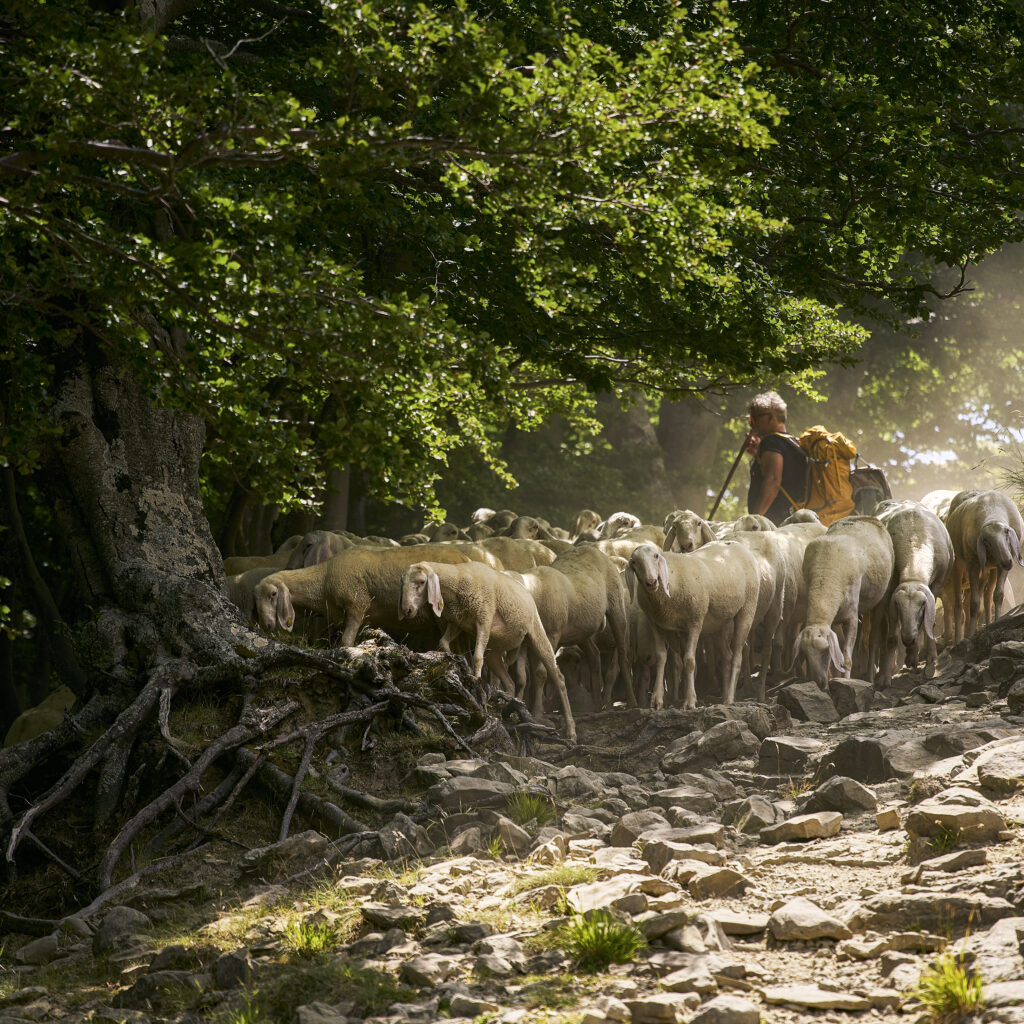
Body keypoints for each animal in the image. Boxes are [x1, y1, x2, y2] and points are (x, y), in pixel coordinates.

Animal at [397, 561, 577, 745]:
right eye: (402, 582)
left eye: (421, 582)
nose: (407, 610)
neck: (458, 581)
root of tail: (525, 589)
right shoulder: (458, 622)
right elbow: (443, 643)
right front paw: (461, 665)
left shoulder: (484, 618)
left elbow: (477, 657)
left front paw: (476, 684)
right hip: (496, 651)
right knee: (509, 681)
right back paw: (510, 709)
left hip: (536, 631)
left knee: (558, 678)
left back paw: (571, 732)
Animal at [622, 540, 761, 708]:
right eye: (634, 562)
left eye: (655, 556)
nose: (651, 582)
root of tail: (735, 544)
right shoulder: (657, 624)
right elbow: (661, 657)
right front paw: (657, 700)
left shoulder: (695, 622)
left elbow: (689, 660)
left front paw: (689, 701)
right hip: (719, 621)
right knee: (727, 656)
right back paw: (723, 696)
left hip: (748, 606)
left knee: (737, 655)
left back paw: (729, 698)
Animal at [794, 516, 892, 684]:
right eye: (806, 655)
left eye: (825, 651)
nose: (819, 682)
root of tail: (865, 517)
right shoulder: (833, 619)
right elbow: (838, 653)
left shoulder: (851, 618)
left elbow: (846, 658)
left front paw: (846, 681)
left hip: (882, 598)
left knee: (873, 639)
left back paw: (870, 678)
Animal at [872, 497, 950, 679]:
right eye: (898, 605)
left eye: (922, 605)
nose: (907, 640)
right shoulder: (890, 592)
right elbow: (892, 636)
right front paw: (884, 677)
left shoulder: (937, 584)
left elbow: (929, 623)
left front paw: (929, 658)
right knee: (877, 630)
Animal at [942, 489, 1024, 638]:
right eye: (987, 541)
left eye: (1006, 534)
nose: (1008, 561)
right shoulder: (973, 564)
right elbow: (974, 603)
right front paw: (970, 635)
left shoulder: (1000, 566)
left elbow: (998, 596)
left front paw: (997, 623)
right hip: (959, 565)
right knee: (959, 606)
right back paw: (959, 637)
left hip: (989, 570)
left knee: (986, 599)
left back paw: (988, 624)